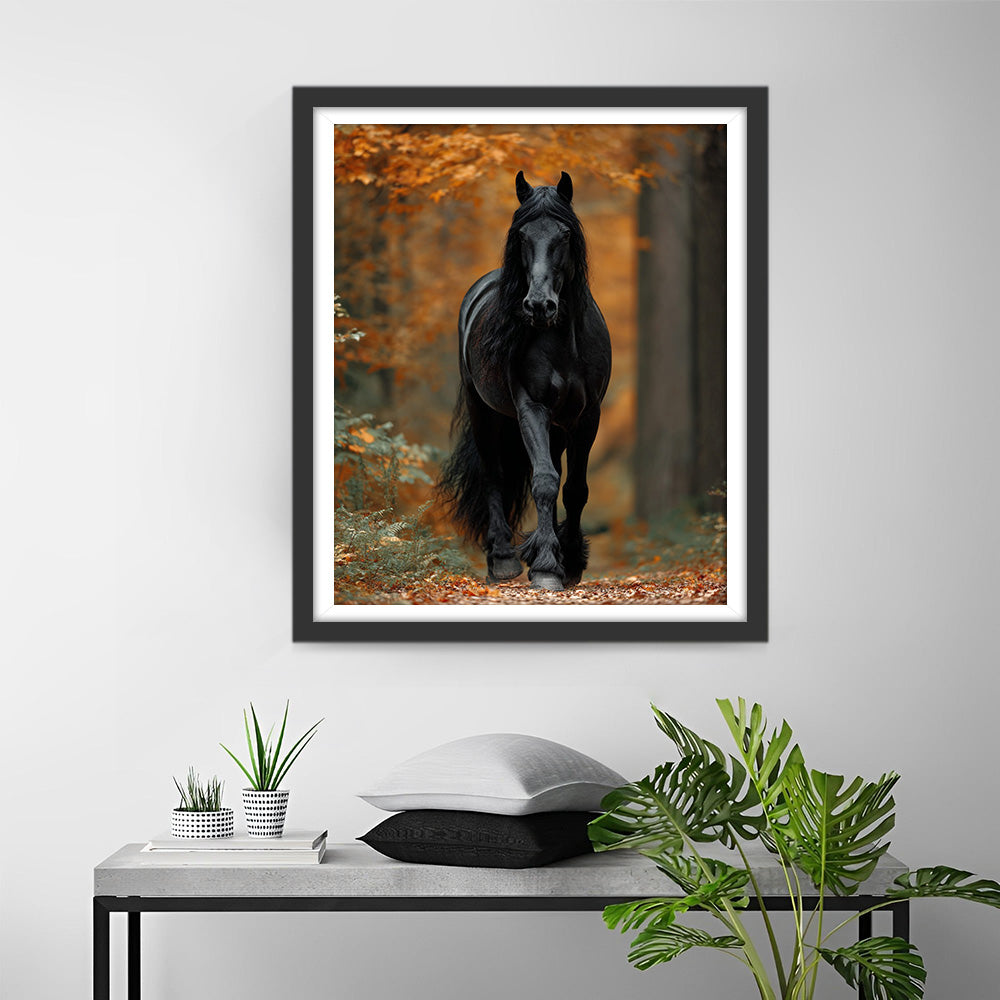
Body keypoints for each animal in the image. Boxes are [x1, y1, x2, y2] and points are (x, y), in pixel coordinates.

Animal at [437, 170, 612, 591]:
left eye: (564, 235)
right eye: (521, 236)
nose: (538, 305)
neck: (563, 340)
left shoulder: (587, 417)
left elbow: (574, 489)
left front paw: (570, 563)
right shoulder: (532, 407)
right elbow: (544, 481)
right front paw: (547, 566)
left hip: (558, 427)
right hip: (484, 413)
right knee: (494, 476)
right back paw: (502, 559)